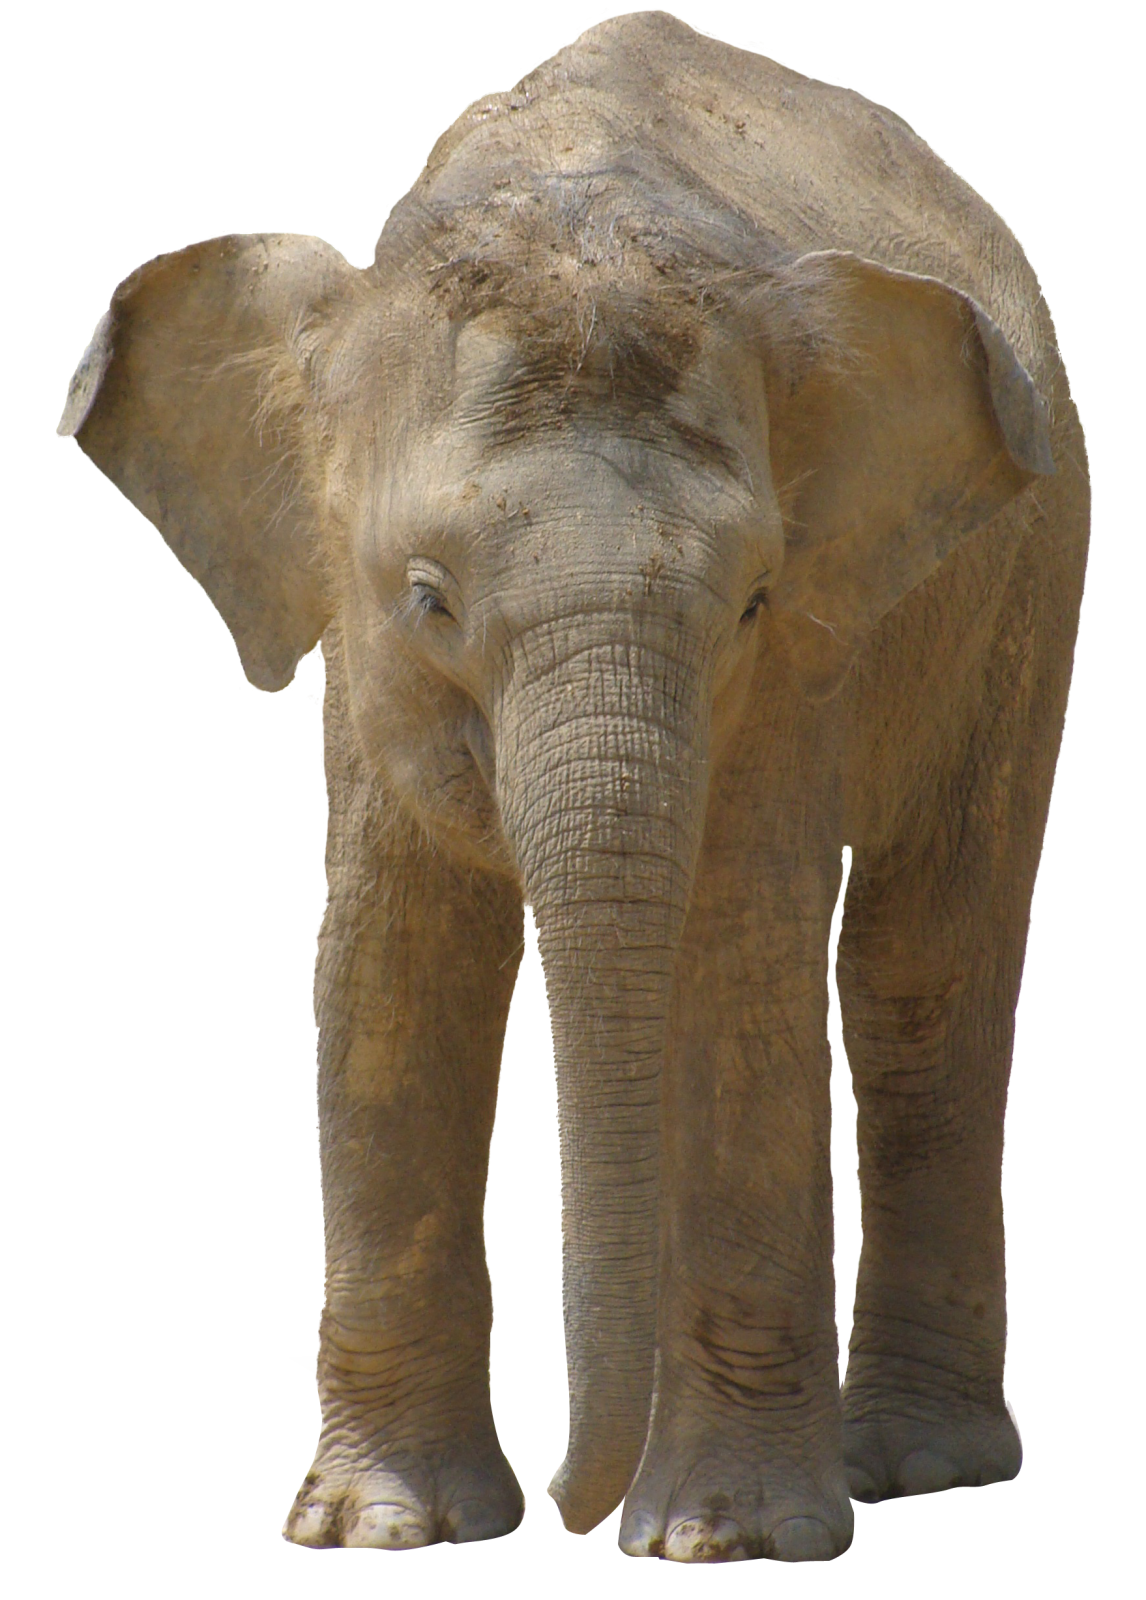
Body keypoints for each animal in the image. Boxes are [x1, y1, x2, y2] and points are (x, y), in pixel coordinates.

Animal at [56, 9, 1090, 1564]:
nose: (567, 1500)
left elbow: (739, 951)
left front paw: (723, 1539)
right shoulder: (365, 663)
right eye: (426, 595)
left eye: (751, 601)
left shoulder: (800, 663)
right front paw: (383, 1530)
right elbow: (388, 963)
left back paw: (909, 1466)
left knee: (923, 965)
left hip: (1033, 560)